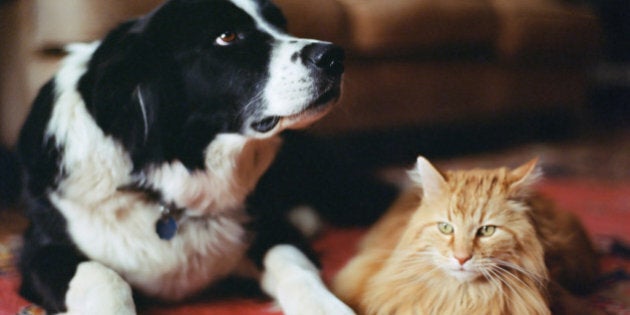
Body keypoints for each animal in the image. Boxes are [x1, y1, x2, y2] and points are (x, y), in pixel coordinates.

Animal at [16, 0, 356, 314]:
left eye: (281, 25)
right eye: (227, 36)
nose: (334, 56)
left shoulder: (272, 230)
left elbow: (292, 264)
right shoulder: (38, 253)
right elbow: (102, 275)